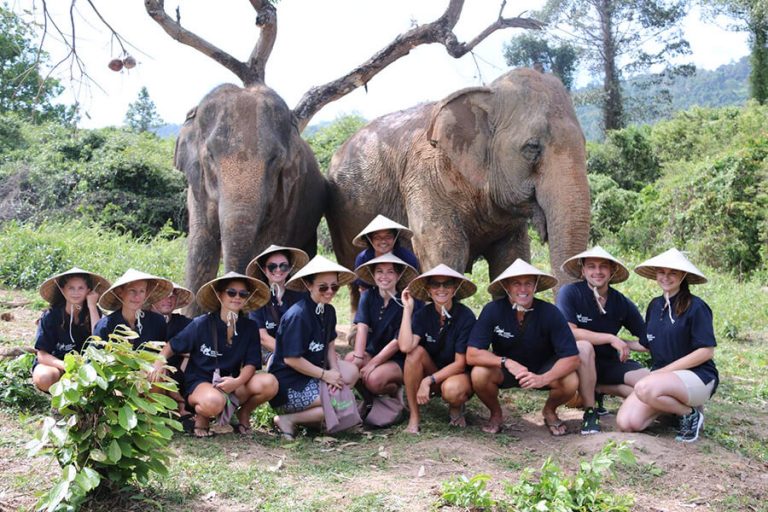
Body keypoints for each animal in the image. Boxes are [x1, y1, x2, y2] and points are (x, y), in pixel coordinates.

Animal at [175, 83, 326, 314]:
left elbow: (264, 250)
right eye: (210, 156)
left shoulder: (288, 199)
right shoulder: (197, 192)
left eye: (275, 160)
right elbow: (201, 249)